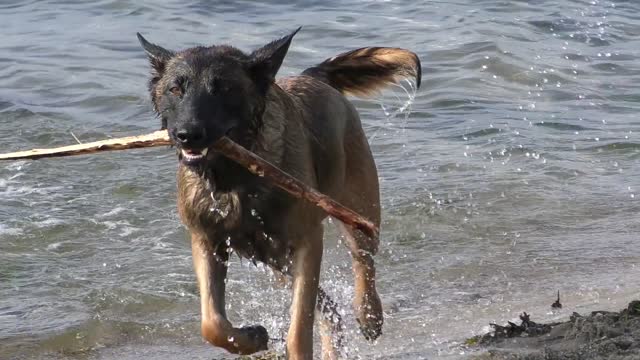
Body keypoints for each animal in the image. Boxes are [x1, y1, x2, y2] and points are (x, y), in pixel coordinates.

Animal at [138, 26, 422, 358]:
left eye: (223, 89)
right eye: (175, 89)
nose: (187, 135)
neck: (234, 176)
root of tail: (314, 76)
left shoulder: (307, 243)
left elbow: (298, 329)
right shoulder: (206, 241)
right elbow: (212, 324)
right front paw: (252, 337)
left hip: (355, 209)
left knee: (363, 259)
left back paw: (369, 314)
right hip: (276, 262)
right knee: (329, 309)